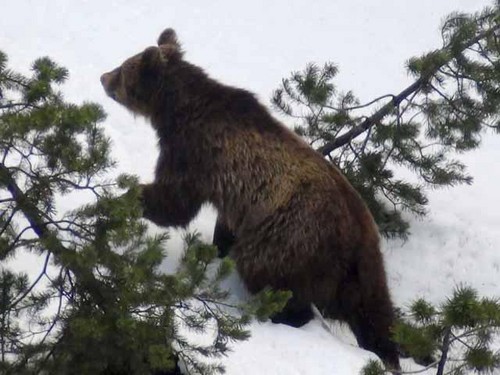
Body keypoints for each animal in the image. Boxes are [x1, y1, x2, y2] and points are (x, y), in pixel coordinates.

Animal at [101, 29, 402, 374]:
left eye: (124, 69)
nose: (103, 77)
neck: (177, 110)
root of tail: (357, 232)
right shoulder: (234, 193)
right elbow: (220, 224)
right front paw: (216, 248)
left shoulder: (194, 152)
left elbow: (174, 202)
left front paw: (123, 196)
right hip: (363, 268)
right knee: (375, 312)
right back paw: (386, 352)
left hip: (289, 237)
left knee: (270, 275)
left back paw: (278, 315)